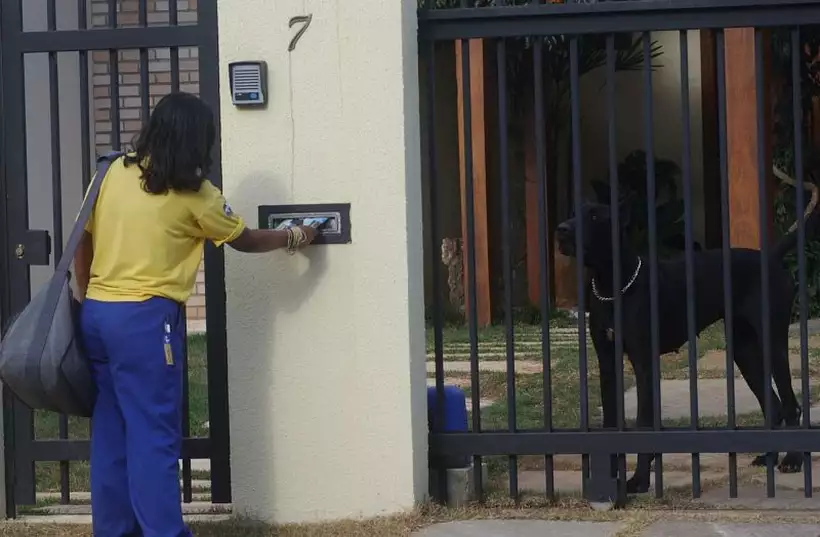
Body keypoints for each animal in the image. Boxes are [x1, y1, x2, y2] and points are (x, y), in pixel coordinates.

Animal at [556, 199, 816, 492]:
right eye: (573, 213)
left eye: (595, 216)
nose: (561, 229)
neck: (612, 285)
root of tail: (770, 258)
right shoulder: (607, 364)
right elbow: (611, 422)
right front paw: (610, 479)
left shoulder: (643, 364)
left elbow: (644, 424)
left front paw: (639, 480)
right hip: (744, 350)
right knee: (773, 404)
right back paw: (768, 456)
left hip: (773, 343)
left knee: (791, 404)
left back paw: (793, 459)